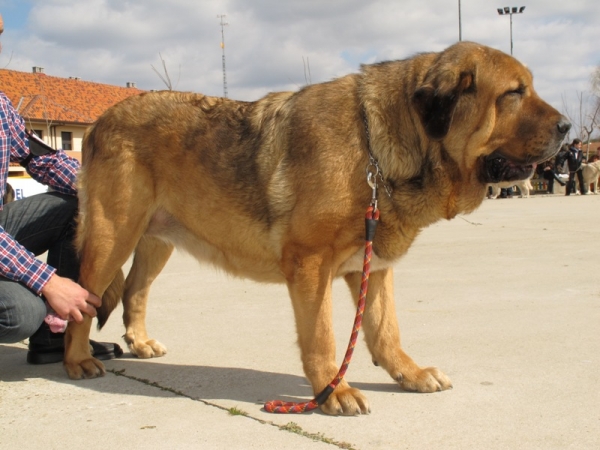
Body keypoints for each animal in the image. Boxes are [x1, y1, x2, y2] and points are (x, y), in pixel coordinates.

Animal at [63, 41, 568, 414]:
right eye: (514, 93)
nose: (566, 127)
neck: (374, 147)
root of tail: (100, 122)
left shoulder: (372, 267)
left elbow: (385, 328)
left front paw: (408, 374)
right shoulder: (310, 265)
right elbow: (323, 337)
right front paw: (333, 391)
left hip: (156, 242)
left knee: (134, 293)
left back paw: (139, 342)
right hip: (111, 237)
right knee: (81, 301)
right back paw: (78, 360)